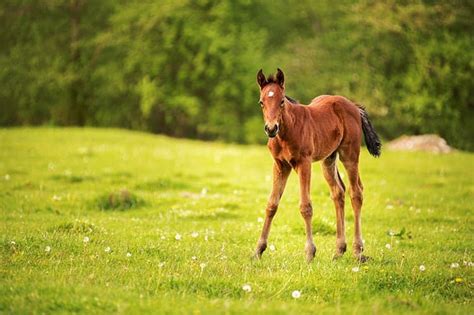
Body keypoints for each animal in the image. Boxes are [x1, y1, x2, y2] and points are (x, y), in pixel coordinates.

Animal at [252, 69, 382, 264]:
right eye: (261, 102)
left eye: (282, 101)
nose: (271, 128)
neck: (286, 131)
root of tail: (354, 106)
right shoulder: (280, 165)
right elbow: (271, 205)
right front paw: (258, 251)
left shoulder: (304, 163)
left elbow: (305, 207)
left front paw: (309, 253)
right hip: (328, 159)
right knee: (338, 192)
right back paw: (339, 250)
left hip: (349, 154)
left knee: (356, 192)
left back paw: (358, 251)